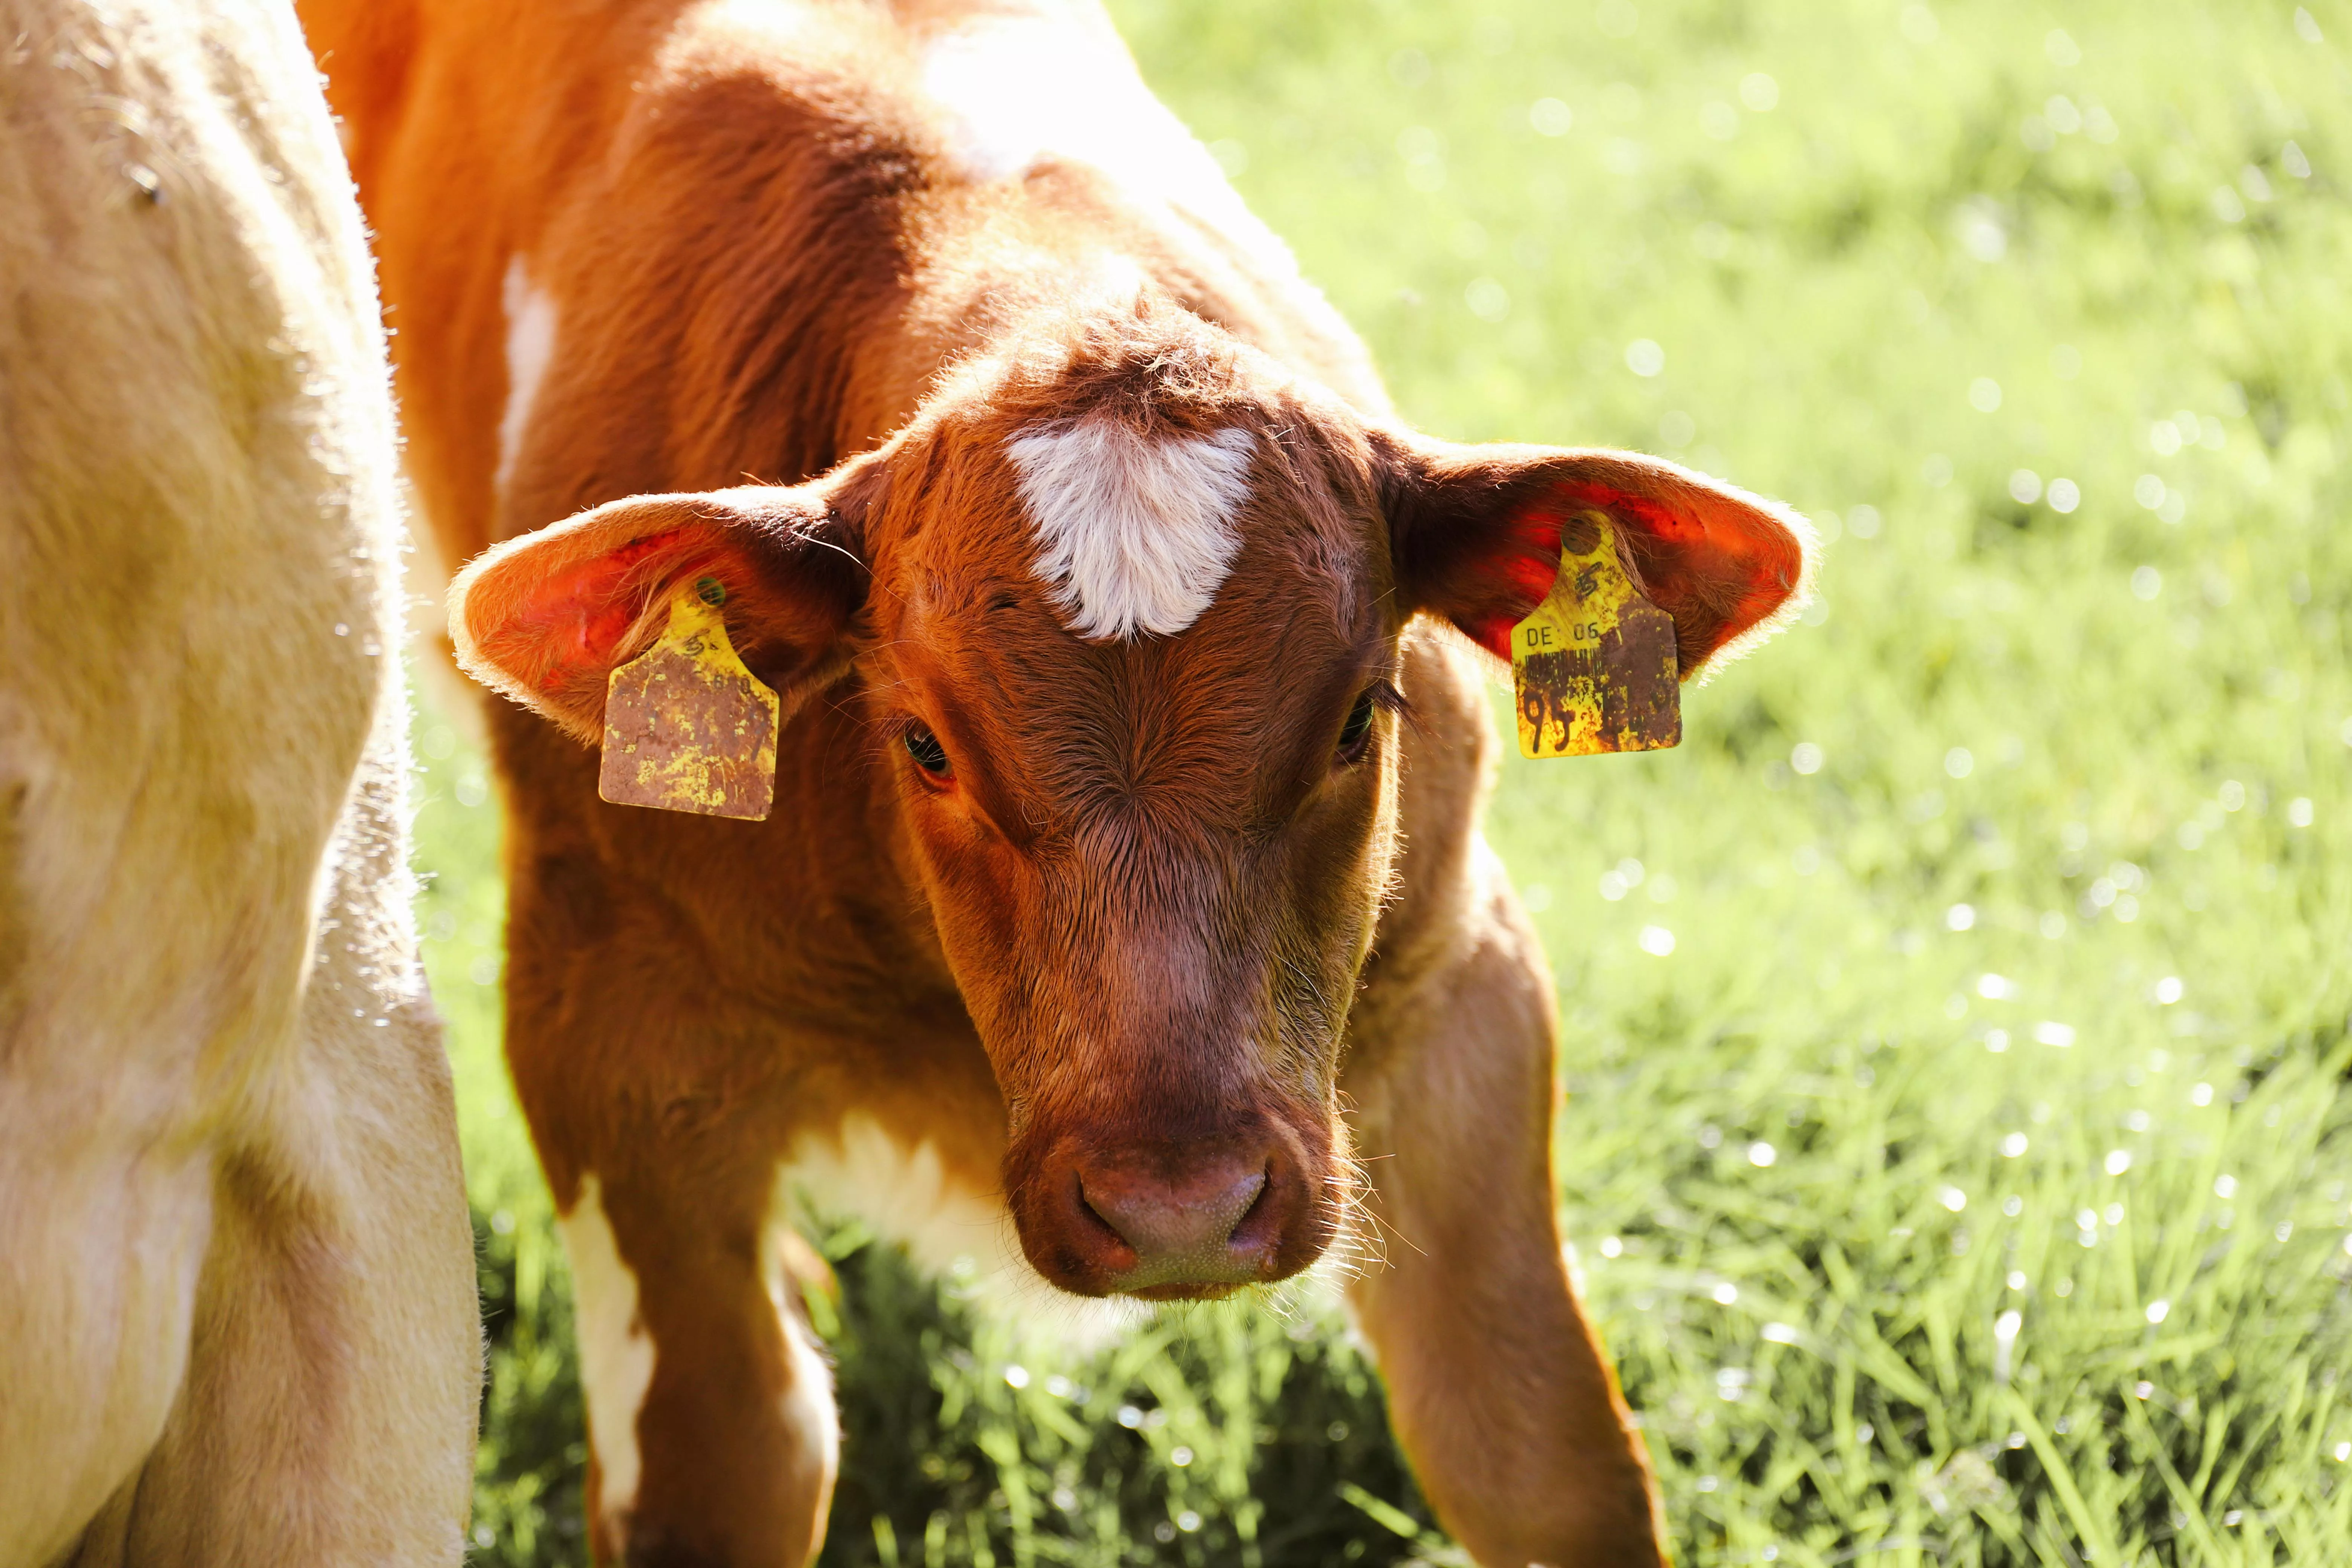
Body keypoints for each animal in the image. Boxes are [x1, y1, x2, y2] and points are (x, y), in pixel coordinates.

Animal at [301, 1, 1813, 1563]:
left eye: (1359, 717)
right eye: (922, 742)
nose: (1180, 1206)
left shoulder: (1461, 978)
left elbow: (1537, 1447)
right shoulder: (607, 1021)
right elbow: (731, 1464)